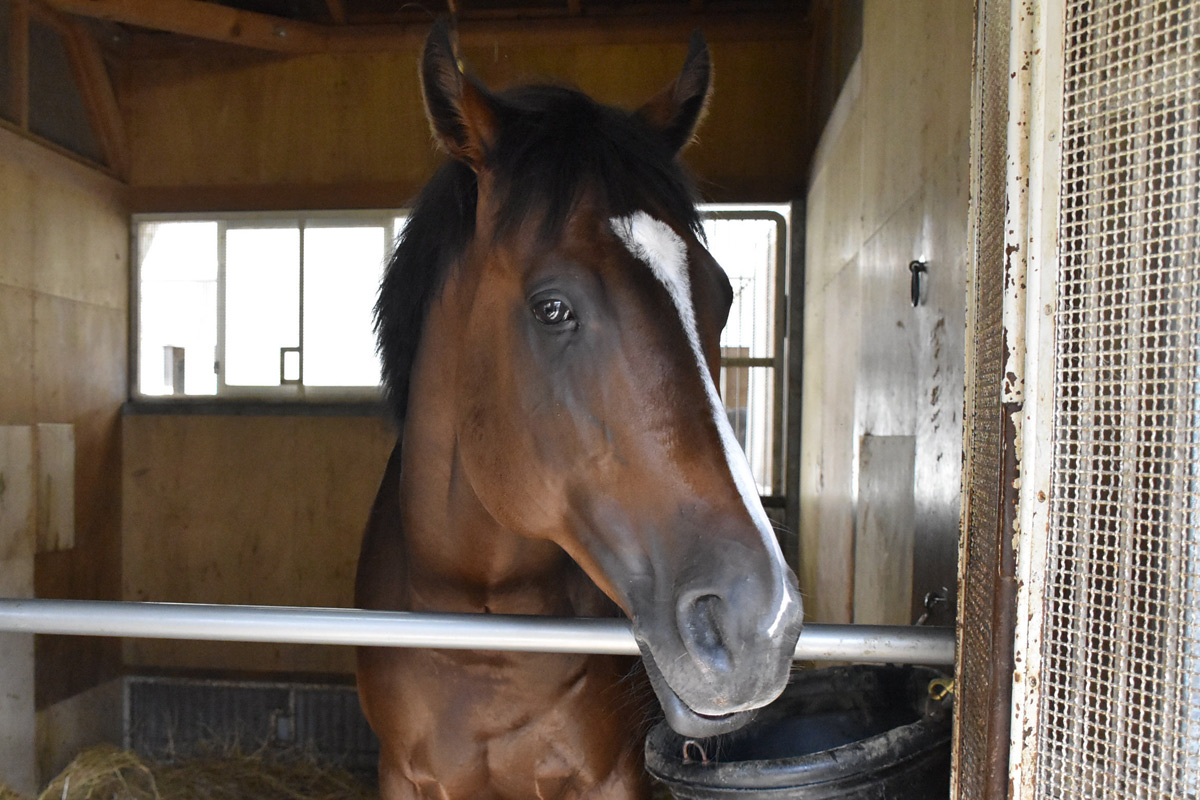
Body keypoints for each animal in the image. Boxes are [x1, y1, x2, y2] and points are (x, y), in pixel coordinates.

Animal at [355, 21, 804, 800]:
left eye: (720, 296)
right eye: (552, 308)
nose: (759, 621)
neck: (485, 631)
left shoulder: (613, 776)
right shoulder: (403, 776)